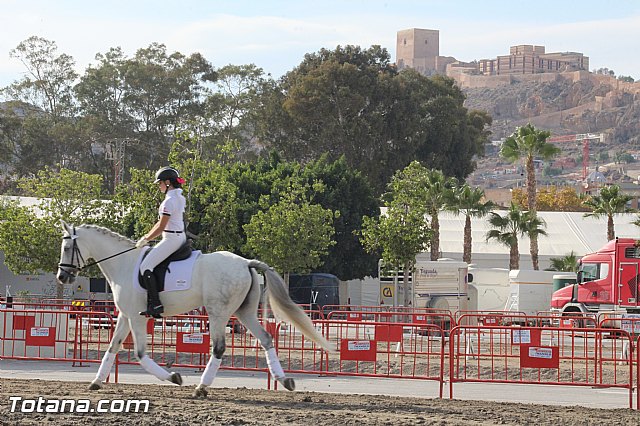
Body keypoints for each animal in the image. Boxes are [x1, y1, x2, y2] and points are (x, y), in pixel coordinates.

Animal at [55, 221, 336, 398]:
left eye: (67, 248)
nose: (62, 277)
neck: (125, 263)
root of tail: (246, 263)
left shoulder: (136, 316)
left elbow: (140, 354)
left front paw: (174, 377)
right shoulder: (125, 315)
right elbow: (112, 347)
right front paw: (96, 382)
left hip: (218, 312)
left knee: (219, 348)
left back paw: (201, 387)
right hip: (243, 312)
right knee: (266, 339)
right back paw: (284, 380)